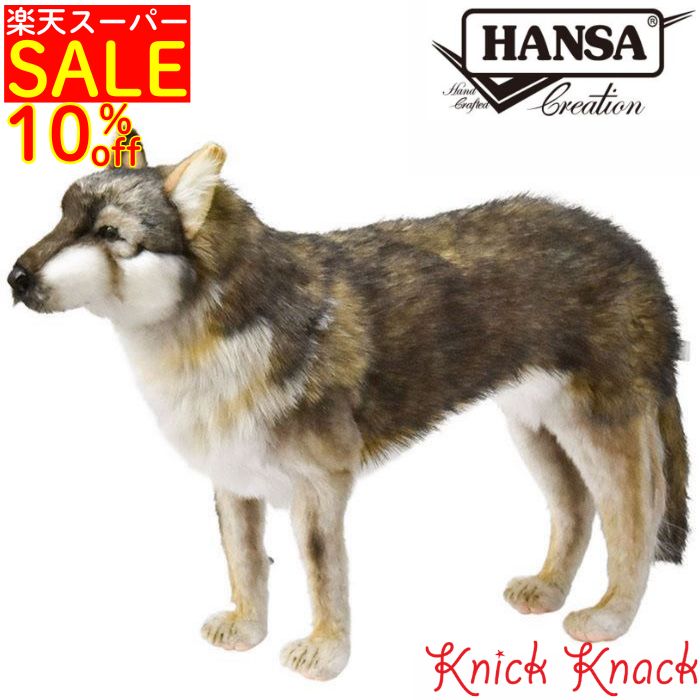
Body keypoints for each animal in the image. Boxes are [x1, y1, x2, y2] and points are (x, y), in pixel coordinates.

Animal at [8, 134, 689, 680]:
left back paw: (612, 617)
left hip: (598, 427)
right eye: (61, 219)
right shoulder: (233, 480)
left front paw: (325, 653)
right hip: (533, 425)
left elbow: (322, 575)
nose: (15, 279)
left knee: (638, 515)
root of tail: (638, 253)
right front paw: (248, 631)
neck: (216, 332)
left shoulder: (321, 485)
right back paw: (547, 589)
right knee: (576, 507)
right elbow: (245, 562)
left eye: (109, 234)